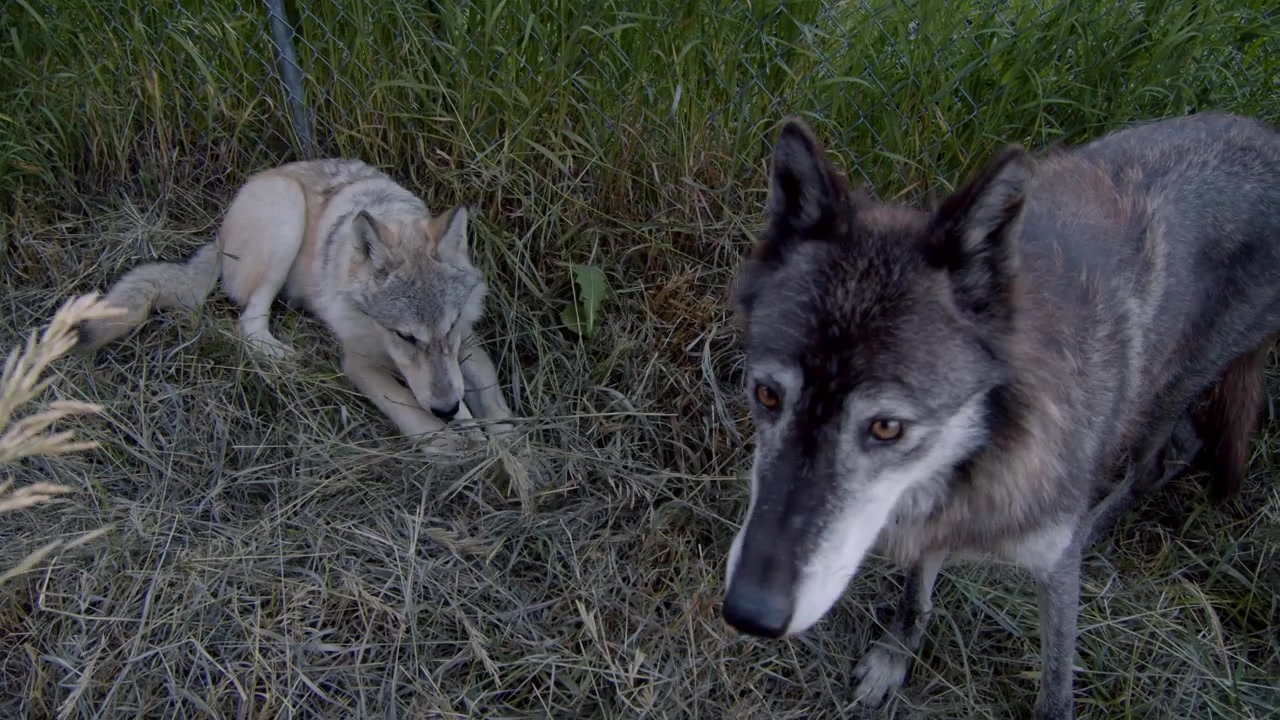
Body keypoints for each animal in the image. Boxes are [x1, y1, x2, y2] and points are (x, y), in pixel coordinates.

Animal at [75, 158, 516, 453]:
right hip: (287, 218)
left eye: (450, 327)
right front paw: (450, 444)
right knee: (249, 323)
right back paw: (282, 357)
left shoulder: (467, 343)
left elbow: (494, 400)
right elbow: (410, 406)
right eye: (404, 336)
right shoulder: (357, 363)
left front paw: (510, 449)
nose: (446, 407)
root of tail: (219, 234)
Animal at [720, 111, 1280, 719]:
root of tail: (1266, 136)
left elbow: (1056, 686)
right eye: (767, 396)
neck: (989, 448)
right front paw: (895, 657)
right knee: (1184, 442)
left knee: (1160, 459)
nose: (749, 613)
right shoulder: (928, 512)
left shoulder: (1048, 570)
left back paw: (1091, 525)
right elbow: (916, 595)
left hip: (1173, 385)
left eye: (887, 427)